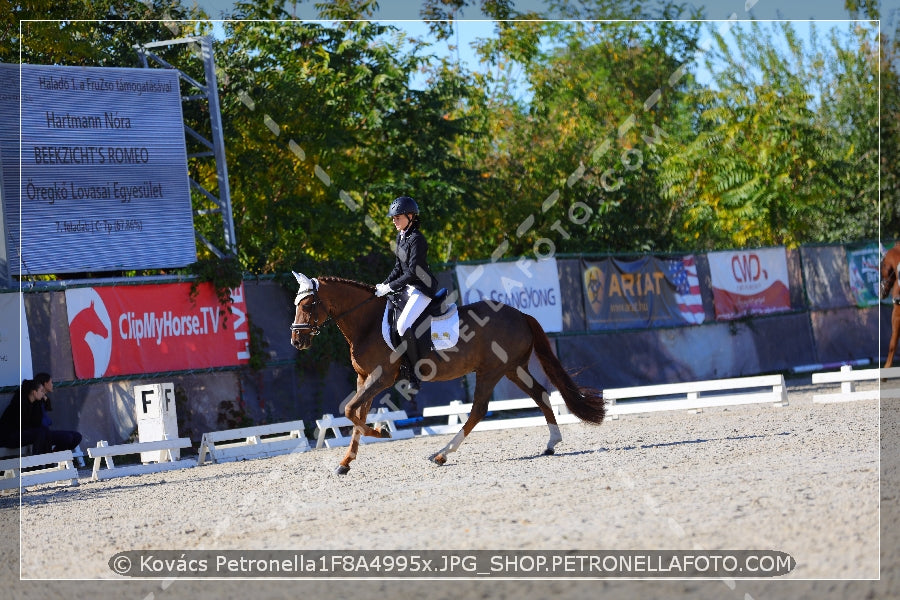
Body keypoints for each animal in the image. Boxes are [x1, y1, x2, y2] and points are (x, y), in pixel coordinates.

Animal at [292, 272, 608, 474]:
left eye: (308, 304)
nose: (297, 340)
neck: (366, 323)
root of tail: (520, 315)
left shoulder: (381, 377)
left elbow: (350, 410)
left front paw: (382, 432)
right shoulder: (363, 377)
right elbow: (357, 414)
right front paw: (346, 462)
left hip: (490, 371)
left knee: (479, 410)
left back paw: (442, 454)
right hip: (512, 369)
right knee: (540, 394)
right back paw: (552, 444)